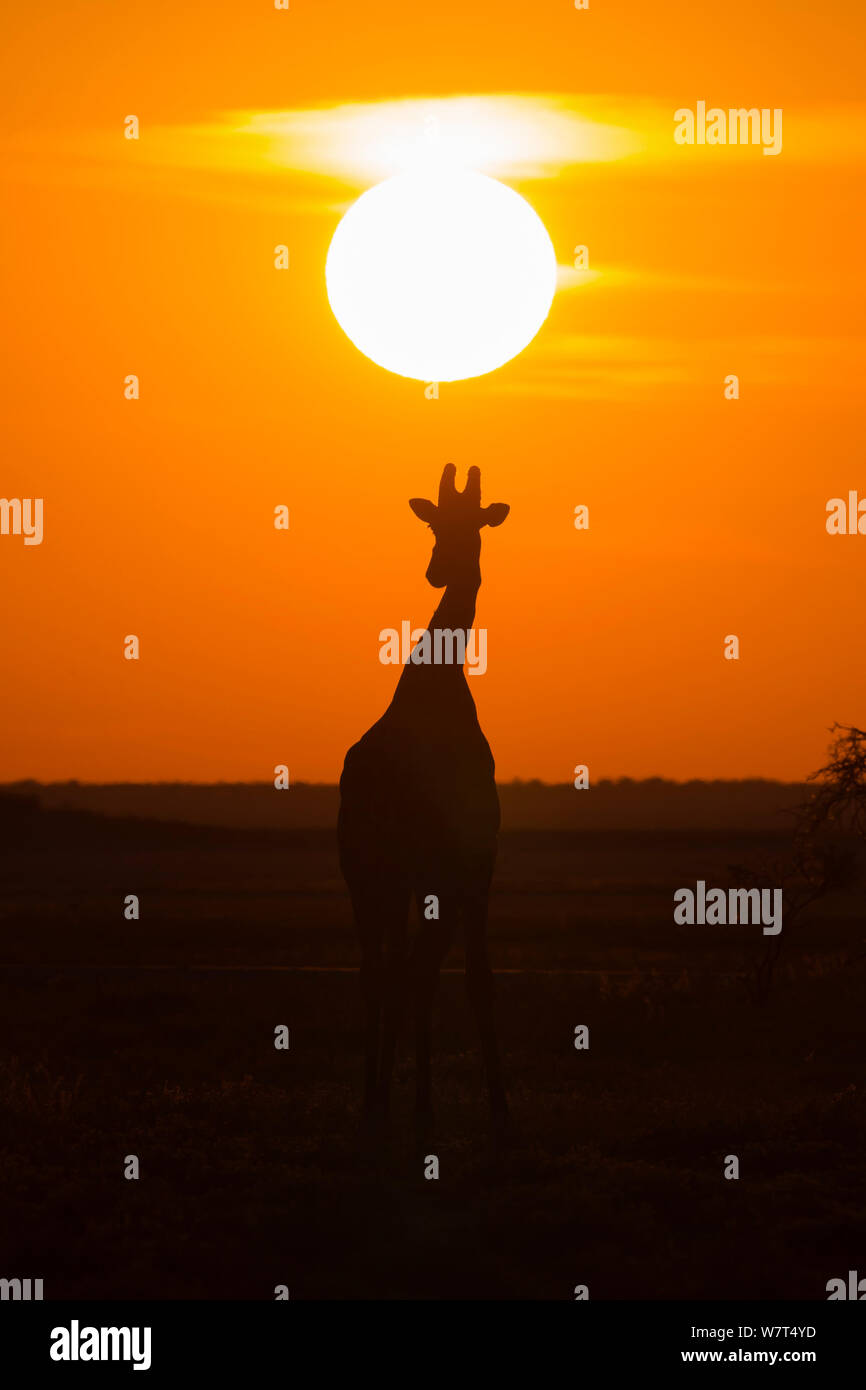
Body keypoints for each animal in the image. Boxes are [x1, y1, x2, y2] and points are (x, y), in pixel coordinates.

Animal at [339, 467, 511, 1139]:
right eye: (433, 524)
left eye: (474, 523)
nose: (439, 570)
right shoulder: (454, 863)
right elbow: (451, 975)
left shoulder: (461, 869)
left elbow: (463, 975)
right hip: (388, 873)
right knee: (392, 969)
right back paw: (388, 1102)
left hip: (387, 876)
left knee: (391, 968)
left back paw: (386, 1100)